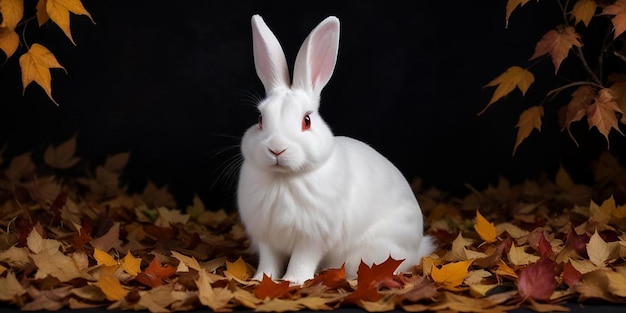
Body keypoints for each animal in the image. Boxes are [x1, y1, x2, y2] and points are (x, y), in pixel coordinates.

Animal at [236, 14, 432, 286]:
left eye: (307, 121)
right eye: (260, 119)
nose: (277, 149)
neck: (284, 179)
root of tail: (417, 249)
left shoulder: (312, 238)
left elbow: (302, 259)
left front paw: (293, 281)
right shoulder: (266, 238)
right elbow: (269, 261)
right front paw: (260, 279)